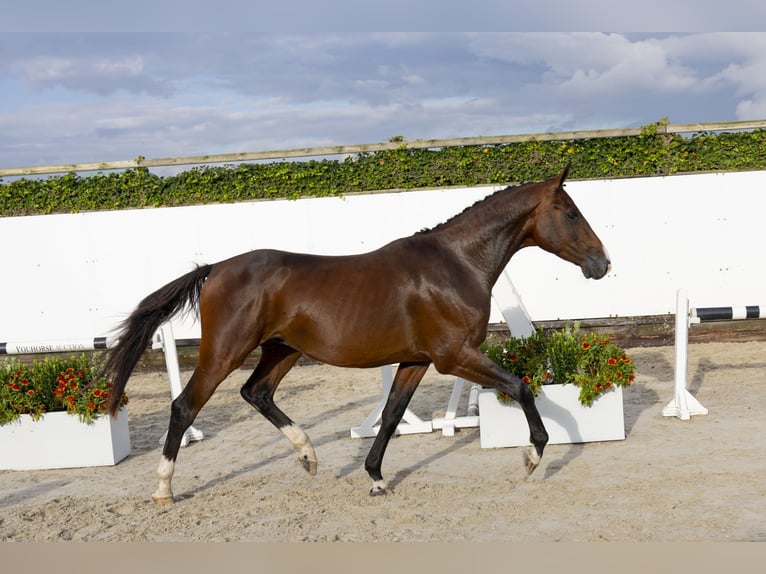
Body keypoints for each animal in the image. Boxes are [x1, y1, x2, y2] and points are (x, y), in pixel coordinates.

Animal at [106, 164, 612, 506]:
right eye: (570, 213)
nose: (602, 263)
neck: (456, 264)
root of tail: (216, 269)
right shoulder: (454, 356)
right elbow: (520, 386)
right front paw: (531, 458)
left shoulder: (417, 361)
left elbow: (390, 416)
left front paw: (376, 478)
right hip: (226, 351)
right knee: (185, 407)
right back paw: (163, 490)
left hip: (282, 350)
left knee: (257, 393)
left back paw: (308, 456)